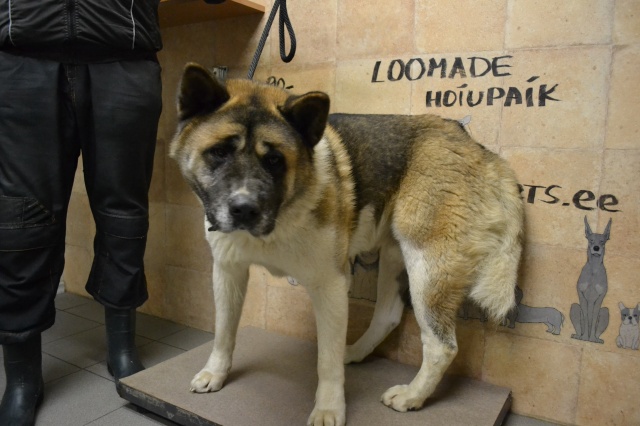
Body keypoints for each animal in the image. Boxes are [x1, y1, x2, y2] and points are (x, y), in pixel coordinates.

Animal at [170, 63, 525, 425]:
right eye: (219, 152)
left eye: (274, 160)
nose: (244, 209)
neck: (283, 215)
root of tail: (478, 148)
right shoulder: (228, 271)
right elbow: (223, 330)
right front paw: (215, 373)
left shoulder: (331, 286)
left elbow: (325, 361)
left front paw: (328, 408)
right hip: (396, 256)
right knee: (388, 316)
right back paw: (354, 352)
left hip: (426, 265)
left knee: (441, 345)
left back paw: (412, 396)